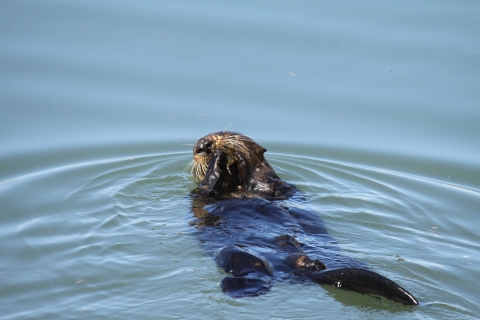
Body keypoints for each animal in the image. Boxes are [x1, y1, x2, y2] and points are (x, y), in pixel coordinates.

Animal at [188, 131, 416, 304]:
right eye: (197, 150)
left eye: (227, 134)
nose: (205, 145)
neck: (240, 188)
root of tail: (303, 268)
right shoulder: (201, 196)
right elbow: (206, 188)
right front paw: (217, 162)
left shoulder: (279, 188)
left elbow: (274, 185)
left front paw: (235, 159)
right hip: (232, 253)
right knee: (256, 270)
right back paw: (240, 286)